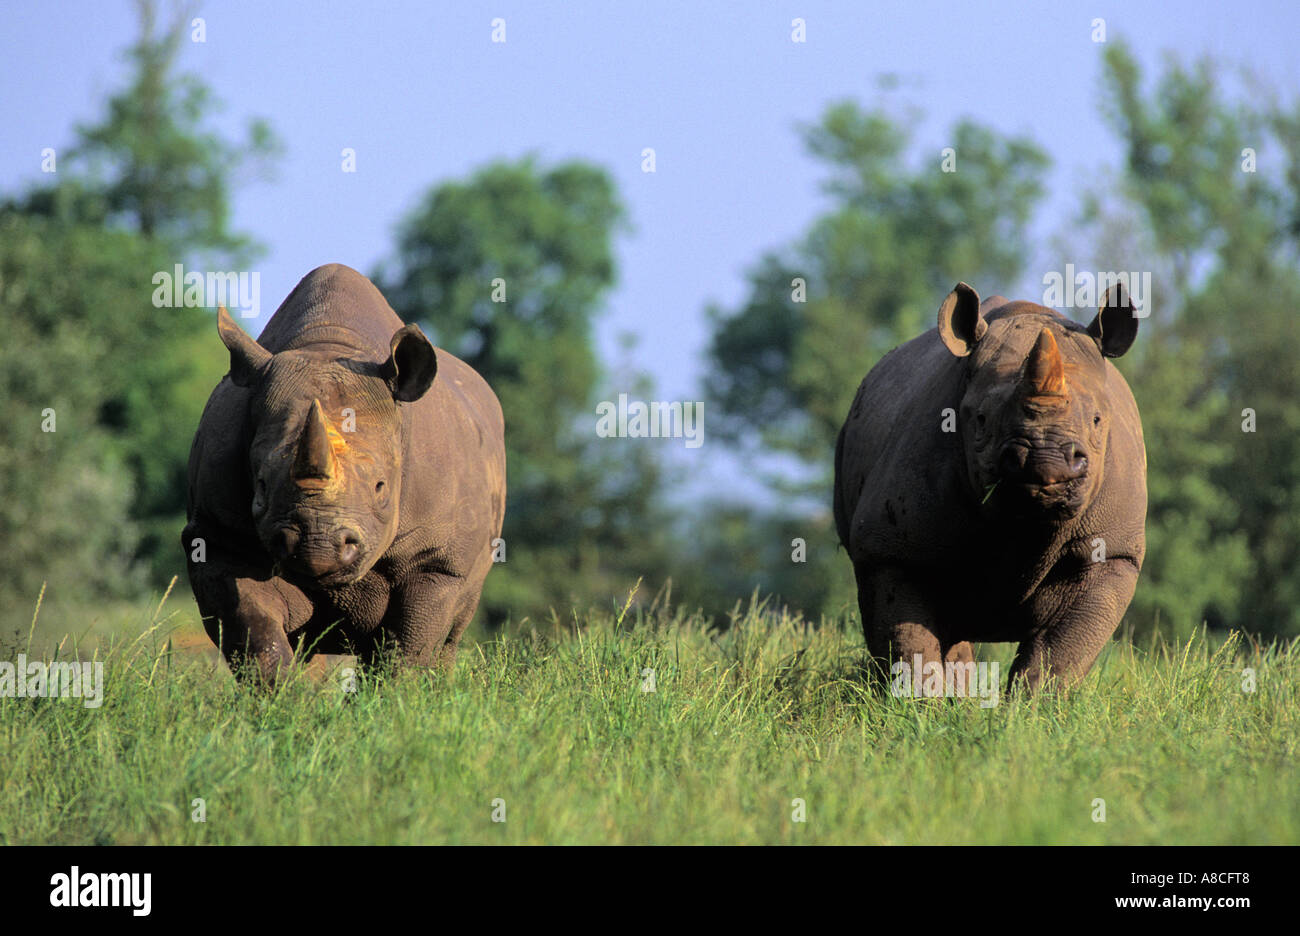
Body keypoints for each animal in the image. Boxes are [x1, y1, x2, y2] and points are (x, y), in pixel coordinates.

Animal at [180, 265, 504, 686]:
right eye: (261, 486)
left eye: (382, 488)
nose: (317, 547)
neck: (329, 343)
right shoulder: (218, 537)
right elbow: (255, 633)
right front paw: (286, 699)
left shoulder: (436, 558)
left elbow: (411, 647)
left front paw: (397, 698)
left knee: (448, 635)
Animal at [832, 282, 1149, 691]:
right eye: (980, 419)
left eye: (1097, 420)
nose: (1046, 462)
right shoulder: (887, 548)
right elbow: (910, 645)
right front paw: (922, 705)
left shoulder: (1112, 551)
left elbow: (1060, 654)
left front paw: (1033, 706)